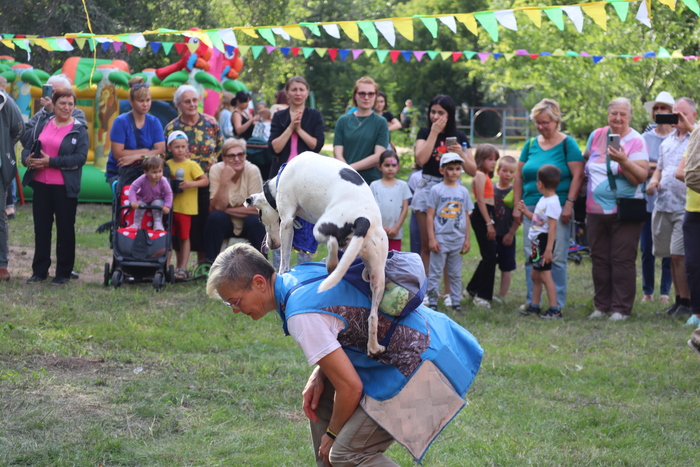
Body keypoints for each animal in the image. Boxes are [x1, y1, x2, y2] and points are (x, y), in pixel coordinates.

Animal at [246, 152, 389, 356]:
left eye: (259, 217)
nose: (271, 245)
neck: (279, 181)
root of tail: (364, 219)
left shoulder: (286, 222)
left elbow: (285, 260)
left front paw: (282, 273)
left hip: (321, 227)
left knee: (332, 242)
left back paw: (330, 264)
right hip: (378, 278)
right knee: (373, 316)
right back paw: (374, 347)